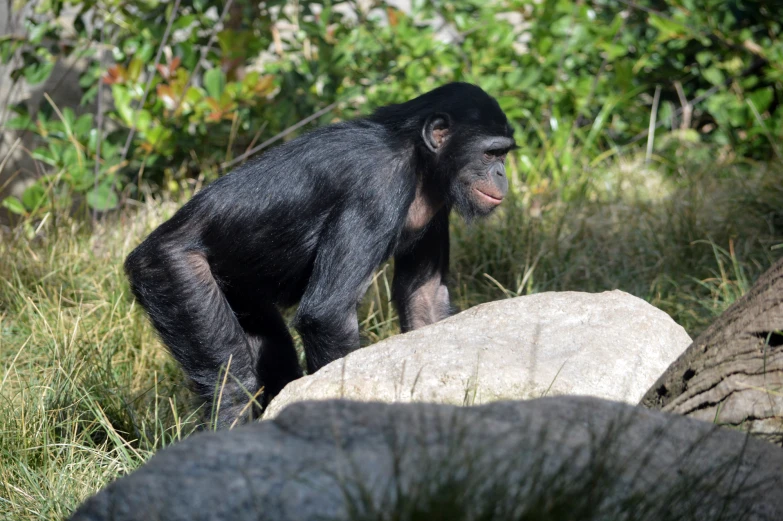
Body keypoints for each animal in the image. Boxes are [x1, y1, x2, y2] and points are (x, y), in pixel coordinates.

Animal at [125, 82, 516, 426]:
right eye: (491, 153)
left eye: (503, 153)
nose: (502, 173)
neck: (419, 159)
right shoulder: (377, 185)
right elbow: (329, 313)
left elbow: (425, 296)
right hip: (170, 271)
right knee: (233, 385)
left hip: (240, 293)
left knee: (275, 354)